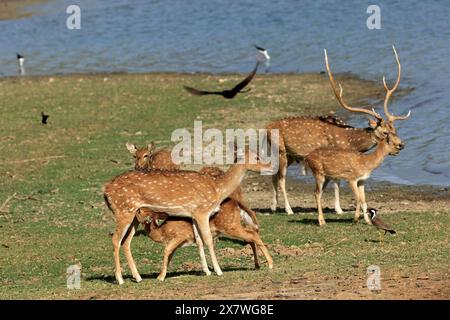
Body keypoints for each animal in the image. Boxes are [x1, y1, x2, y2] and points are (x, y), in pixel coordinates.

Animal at [103, 146, 272, 284]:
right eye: (257, 157)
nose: (270, 166)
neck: (217, 189)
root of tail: (105, 191)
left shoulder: (193, 214)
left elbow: (199, 240)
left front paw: (207, 271)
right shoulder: (202, 211)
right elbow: (208, 240)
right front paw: (218, 271)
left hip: (134, 215)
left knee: (126, 241)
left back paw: (137, 277)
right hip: (123, 210)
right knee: (116, 239)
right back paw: (120, 279)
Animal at [268, 47, 412, 218]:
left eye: (394, 129)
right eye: (385, 133)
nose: (402, 145)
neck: (350, 141)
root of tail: (267, 127)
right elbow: (337, 182)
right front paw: (339, 209)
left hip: (289, 155)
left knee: (273, 175)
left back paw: (273, 207)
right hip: (280, 151)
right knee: (281, 178)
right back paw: (288, 209)